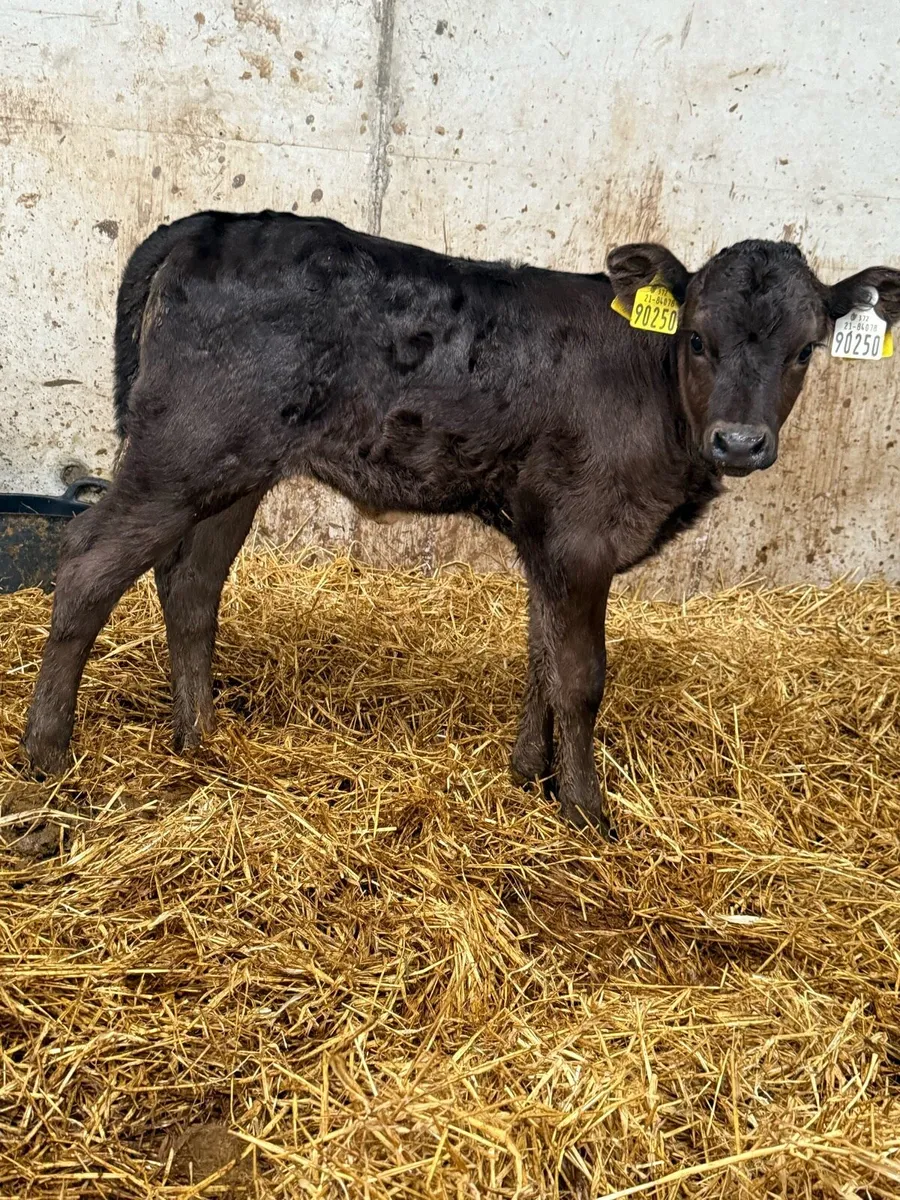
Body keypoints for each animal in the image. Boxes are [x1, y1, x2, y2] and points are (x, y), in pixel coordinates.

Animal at [21, 210, 900, 837]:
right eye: (697, 340)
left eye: (806, 349)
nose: (741, 442)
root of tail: (205, 223)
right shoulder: (583, 536)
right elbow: (582, 676)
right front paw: (586, 810)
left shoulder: (548, 540)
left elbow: (542, 659)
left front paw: (529, 775)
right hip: (182, 449)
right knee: (88, 564)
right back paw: (47, 755)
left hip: (236, 466)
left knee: (193, 584)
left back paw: (199, 739)